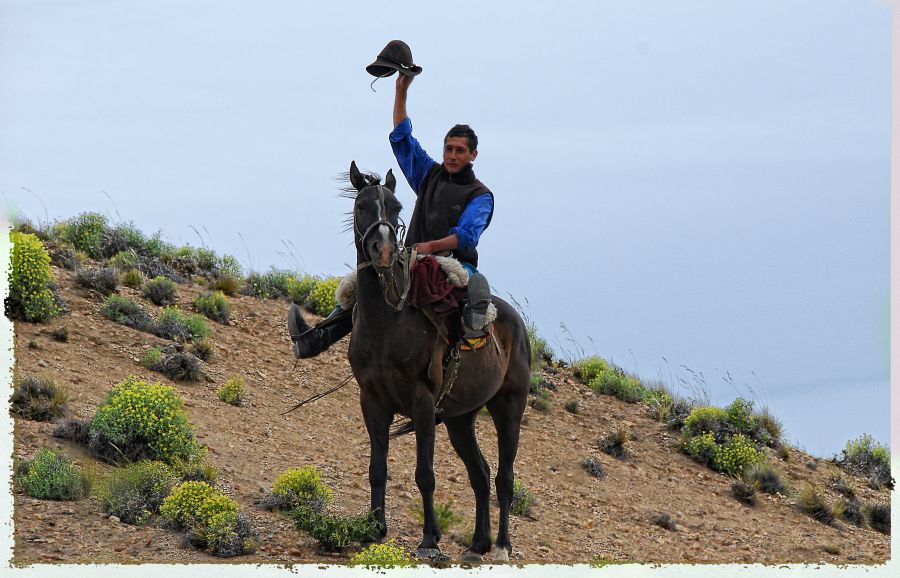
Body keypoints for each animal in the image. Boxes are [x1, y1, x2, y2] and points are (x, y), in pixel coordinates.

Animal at [342, 161, 532, 560]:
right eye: (363, 205)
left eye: (396, 207)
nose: (384, 250)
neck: (388, 322)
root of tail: (517, 324)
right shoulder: (372, 401)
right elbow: (377, 468)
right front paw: (374, 528)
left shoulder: (423, 403)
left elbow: (424, 474)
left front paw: (430, 539)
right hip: (461, 419)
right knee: (480, 473)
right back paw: (478, 544)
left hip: (509, 407)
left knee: (504, 478)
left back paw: (502, 546)